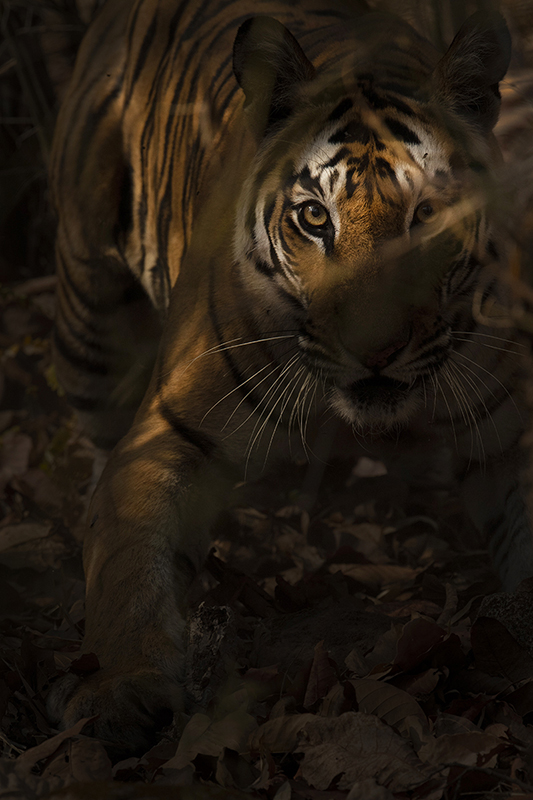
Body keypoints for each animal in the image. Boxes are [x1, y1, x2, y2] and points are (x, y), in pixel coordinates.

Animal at [47, 0, 528, 752]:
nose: (375, 351)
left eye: (428, 214)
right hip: (87, 316)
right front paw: (121, 686)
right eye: (313, 217)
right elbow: (128, 565)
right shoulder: (166, 435)